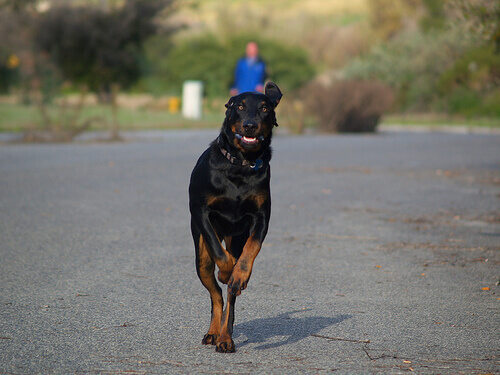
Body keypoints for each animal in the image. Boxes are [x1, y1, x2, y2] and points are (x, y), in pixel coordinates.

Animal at [188, 81, 282, 352]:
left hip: (235, 237)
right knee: (216, 294)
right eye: (239, 106)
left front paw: (239, 274)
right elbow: (219, 253)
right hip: (201, 258)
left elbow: (252, 248)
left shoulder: (261, 216)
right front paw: (226, 270)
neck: (240, 165)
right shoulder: (201, 211)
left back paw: (225, 337)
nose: (250, 125)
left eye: (265, 108)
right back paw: (213, 332)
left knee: (229, 297)